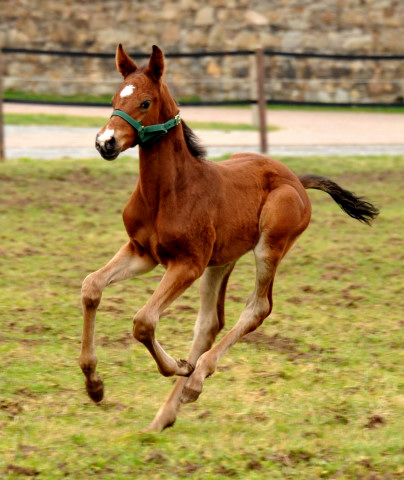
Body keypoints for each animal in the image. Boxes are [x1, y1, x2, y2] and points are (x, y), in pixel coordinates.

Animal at [79, 43, 378, 430]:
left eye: (145, 102)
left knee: (257, 307)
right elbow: (91, 287)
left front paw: (178, 366)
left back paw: (195, 378)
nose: (106, 142)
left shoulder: (187, 263)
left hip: (268, 246)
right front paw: (94, 384)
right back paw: (166, 414)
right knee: (210, 322)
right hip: (221, 260)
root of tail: (296, 179)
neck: (169, 190)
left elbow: (144, 321)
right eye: (115, 98)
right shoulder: (142, 252)